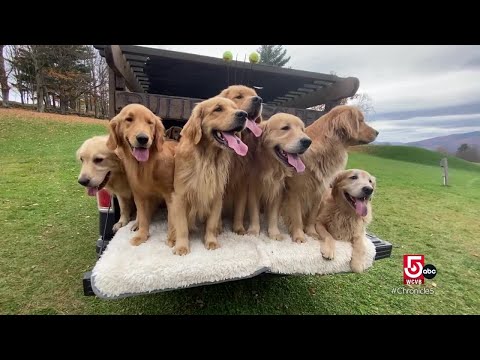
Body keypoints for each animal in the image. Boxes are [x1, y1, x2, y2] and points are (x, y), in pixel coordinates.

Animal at [106, 102, 177, 246]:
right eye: (129, 119)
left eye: (150, 122)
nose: (143, 138)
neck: (145, 166)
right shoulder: (140, 195)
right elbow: (143, 217)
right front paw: (142, 236)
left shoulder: (171, 195)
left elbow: (172, 219)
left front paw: (172, 239)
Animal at [171, 97, 248, 256]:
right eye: (218, 109)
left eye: (235, 107)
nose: (244, 115)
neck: (207, 159)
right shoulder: (180, 197)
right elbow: (182, 226)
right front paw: (181, 246)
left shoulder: (216, 196)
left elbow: (211, 224)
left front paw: (211, 241)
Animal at [219, 86, 264, 235]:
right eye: (239, 96)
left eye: (255, 94)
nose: (258, 100)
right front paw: (218, 226)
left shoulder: (243, 183)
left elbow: (239, 209)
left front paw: (238, 228)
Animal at [282, 105, 378, 243]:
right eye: (361, 120)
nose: (377, 132)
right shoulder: (295, 191)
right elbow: (296, 216)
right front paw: (299, 235)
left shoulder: (319, 191)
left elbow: (312, 216)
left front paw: (311, 232)